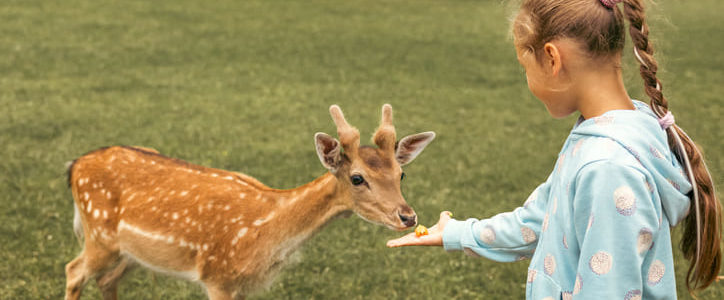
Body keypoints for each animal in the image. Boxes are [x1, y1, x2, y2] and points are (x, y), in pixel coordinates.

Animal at [63, 104, 436, 298]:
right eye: (358, 178)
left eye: (401, 174)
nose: (408, 216)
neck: (264, 237)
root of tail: (75, 165)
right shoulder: (218, 276)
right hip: (100, 237)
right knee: (73, 271)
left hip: (134, 252)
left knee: (106, 280)